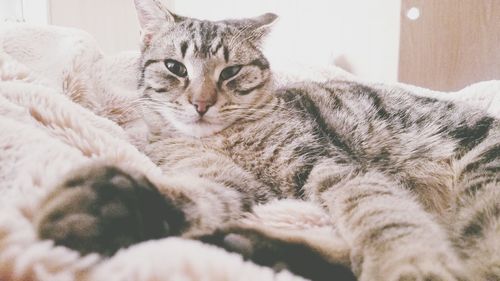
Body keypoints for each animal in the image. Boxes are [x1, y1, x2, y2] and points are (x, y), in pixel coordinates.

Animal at [36, 0, 500, 280]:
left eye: (231, 72)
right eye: (175, 67)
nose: (201, 103)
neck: (224, 140)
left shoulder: (333, 166)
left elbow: (382, 214)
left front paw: (407, 262)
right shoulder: (228, 183)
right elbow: (193, 196)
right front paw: (107, 205)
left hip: (483, 190)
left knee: (476, 266)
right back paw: (250, 246)